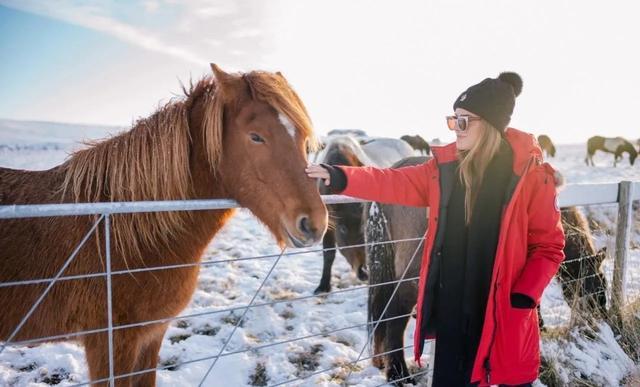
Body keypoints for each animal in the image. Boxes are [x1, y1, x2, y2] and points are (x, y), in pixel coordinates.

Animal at [0, 65, 328, 386]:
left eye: (303, 139)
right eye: (256, 136)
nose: (314, 223)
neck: (125, 234)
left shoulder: (151, 335)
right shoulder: (109, 345)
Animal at [312, 136, 412, 294]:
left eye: (364, 226)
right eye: (343, 229)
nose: (364, 272)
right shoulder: (328, 225)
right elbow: (328, 254)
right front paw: (323, 286)